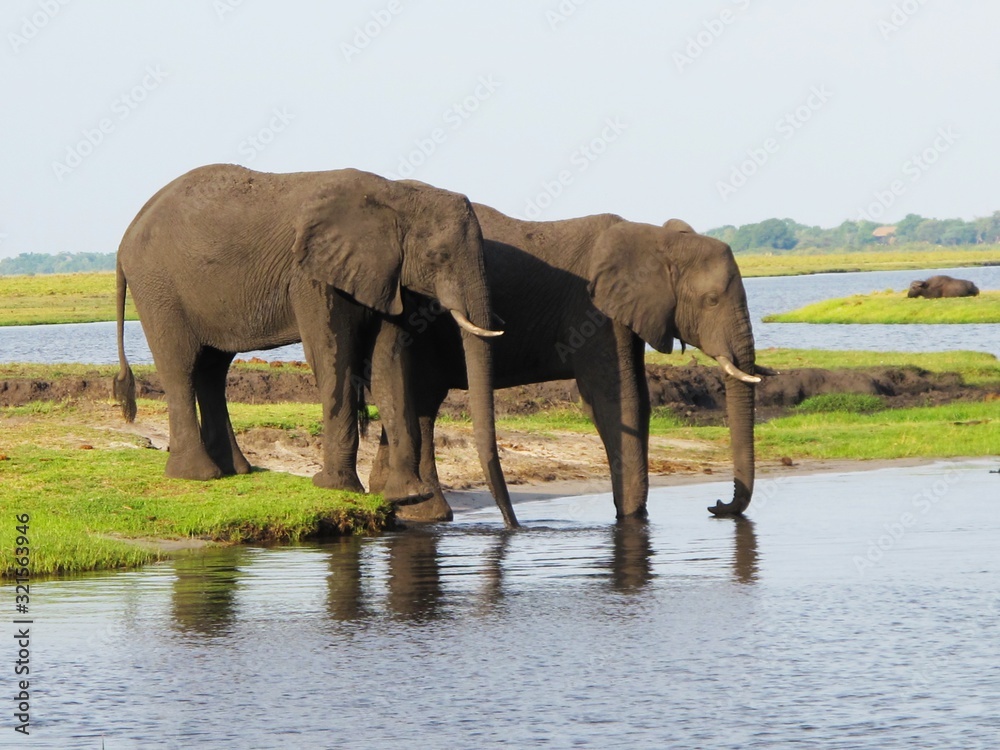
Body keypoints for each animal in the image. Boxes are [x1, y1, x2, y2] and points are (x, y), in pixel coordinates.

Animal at [113, 164, 517, 527]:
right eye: (439, 256)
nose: (512, 526)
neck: (392, 194)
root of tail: (125, 237)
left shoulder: (387, 276)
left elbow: (387, 364)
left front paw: (407, 496)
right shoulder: (311, 275)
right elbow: (333, 357)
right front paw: (335, 488)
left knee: (212, 369)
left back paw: (235, 470)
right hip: (158, 286)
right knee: (180, 366)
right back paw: (197, 475)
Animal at [369, 204, 767, 523]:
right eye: (711, 300)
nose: (716, 505)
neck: (655, 238)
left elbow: (637, 399)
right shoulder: (592, 311)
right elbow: (616, 401)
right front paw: (632, 518)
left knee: (422, 400)